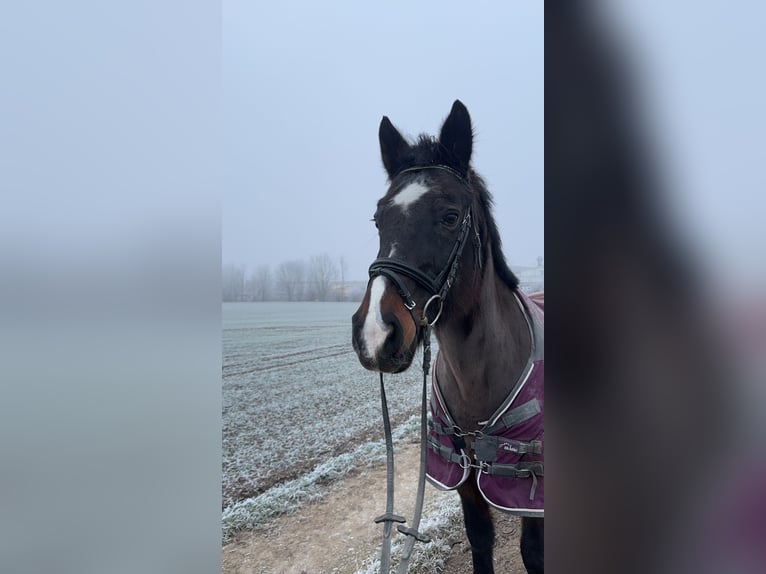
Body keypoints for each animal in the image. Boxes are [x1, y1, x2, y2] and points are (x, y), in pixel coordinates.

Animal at [354, 102, 544, 574]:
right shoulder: (465, 480)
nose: (375, 333)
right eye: (378, 218)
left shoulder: (530, 494)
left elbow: (534, 553)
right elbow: (480, 540)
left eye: (450, 217)